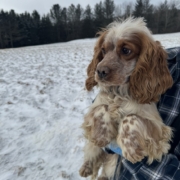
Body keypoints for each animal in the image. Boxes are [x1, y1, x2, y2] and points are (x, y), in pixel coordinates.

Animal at [78, 17, 173, 180]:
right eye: (103, 50)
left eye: (126, 50)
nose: (99, 71)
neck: (118, 93)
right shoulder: (93, 108)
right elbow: (103, 108)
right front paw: (101, 135)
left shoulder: (158, 129)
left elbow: (130, 117)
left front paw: (132, 150)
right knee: (92, 152)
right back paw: (86, 167)